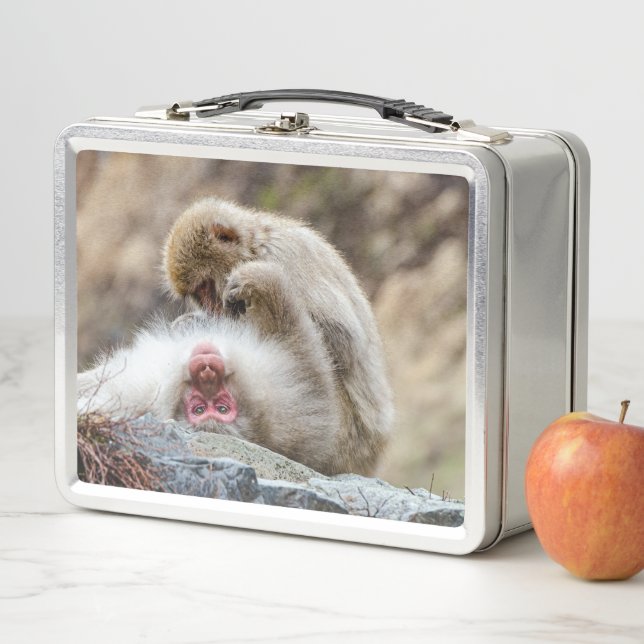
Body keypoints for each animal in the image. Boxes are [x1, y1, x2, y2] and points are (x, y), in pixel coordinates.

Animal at [78, 262, 346, 475]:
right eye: (199, 409)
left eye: (221, 408)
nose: (206, 372)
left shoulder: (293, 405)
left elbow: (297, 342)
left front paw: (261, 282)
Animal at [163, 197, 393, 474]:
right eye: (198, 294)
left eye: (206, 286)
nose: (211, 307)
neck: (255, 246)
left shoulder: (283, 256)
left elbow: (342, 340)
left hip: (343, 436)